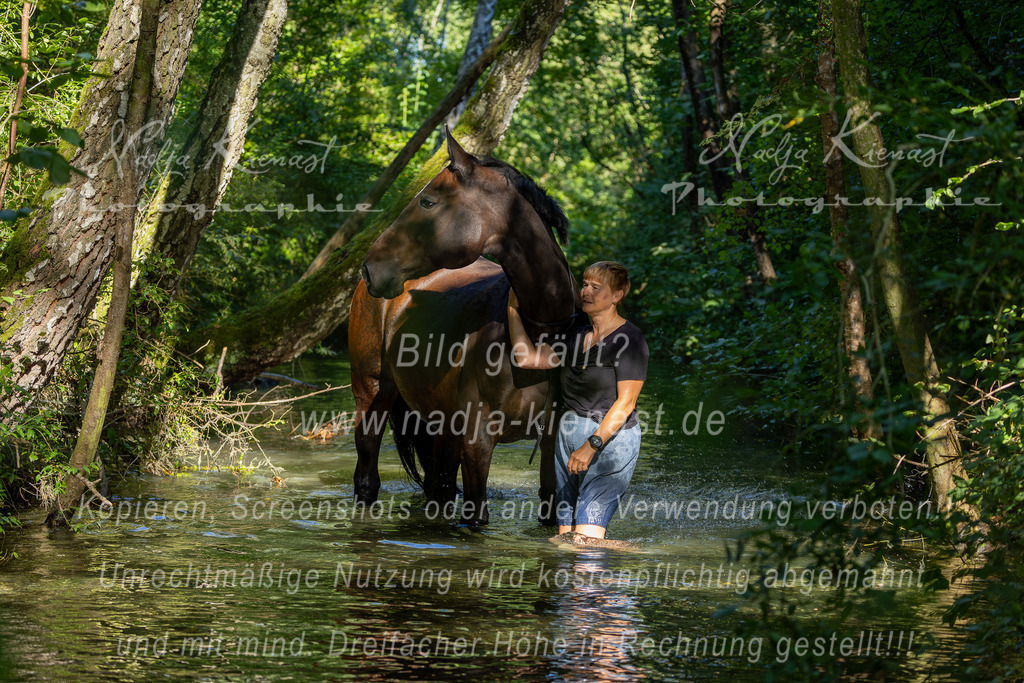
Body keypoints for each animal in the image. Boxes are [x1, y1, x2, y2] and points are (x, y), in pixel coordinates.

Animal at [349, 130, 580, 525]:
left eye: (427, 202)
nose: (370, 267)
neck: (538, 337)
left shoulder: (552, 443)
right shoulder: (478, 443)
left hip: (441, 429)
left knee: (438, 488)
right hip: (372, 397)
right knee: (367, 477)